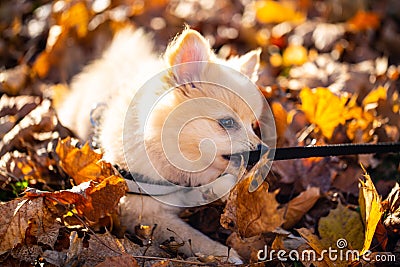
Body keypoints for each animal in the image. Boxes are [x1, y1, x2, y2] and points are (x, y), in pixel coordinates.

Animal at [57, 26, 272, 264]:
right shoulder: (145, 214)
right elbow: (190, 236)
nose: (264, 151)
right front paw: (223, 254)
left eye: (253, 125)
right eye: (227, 122)